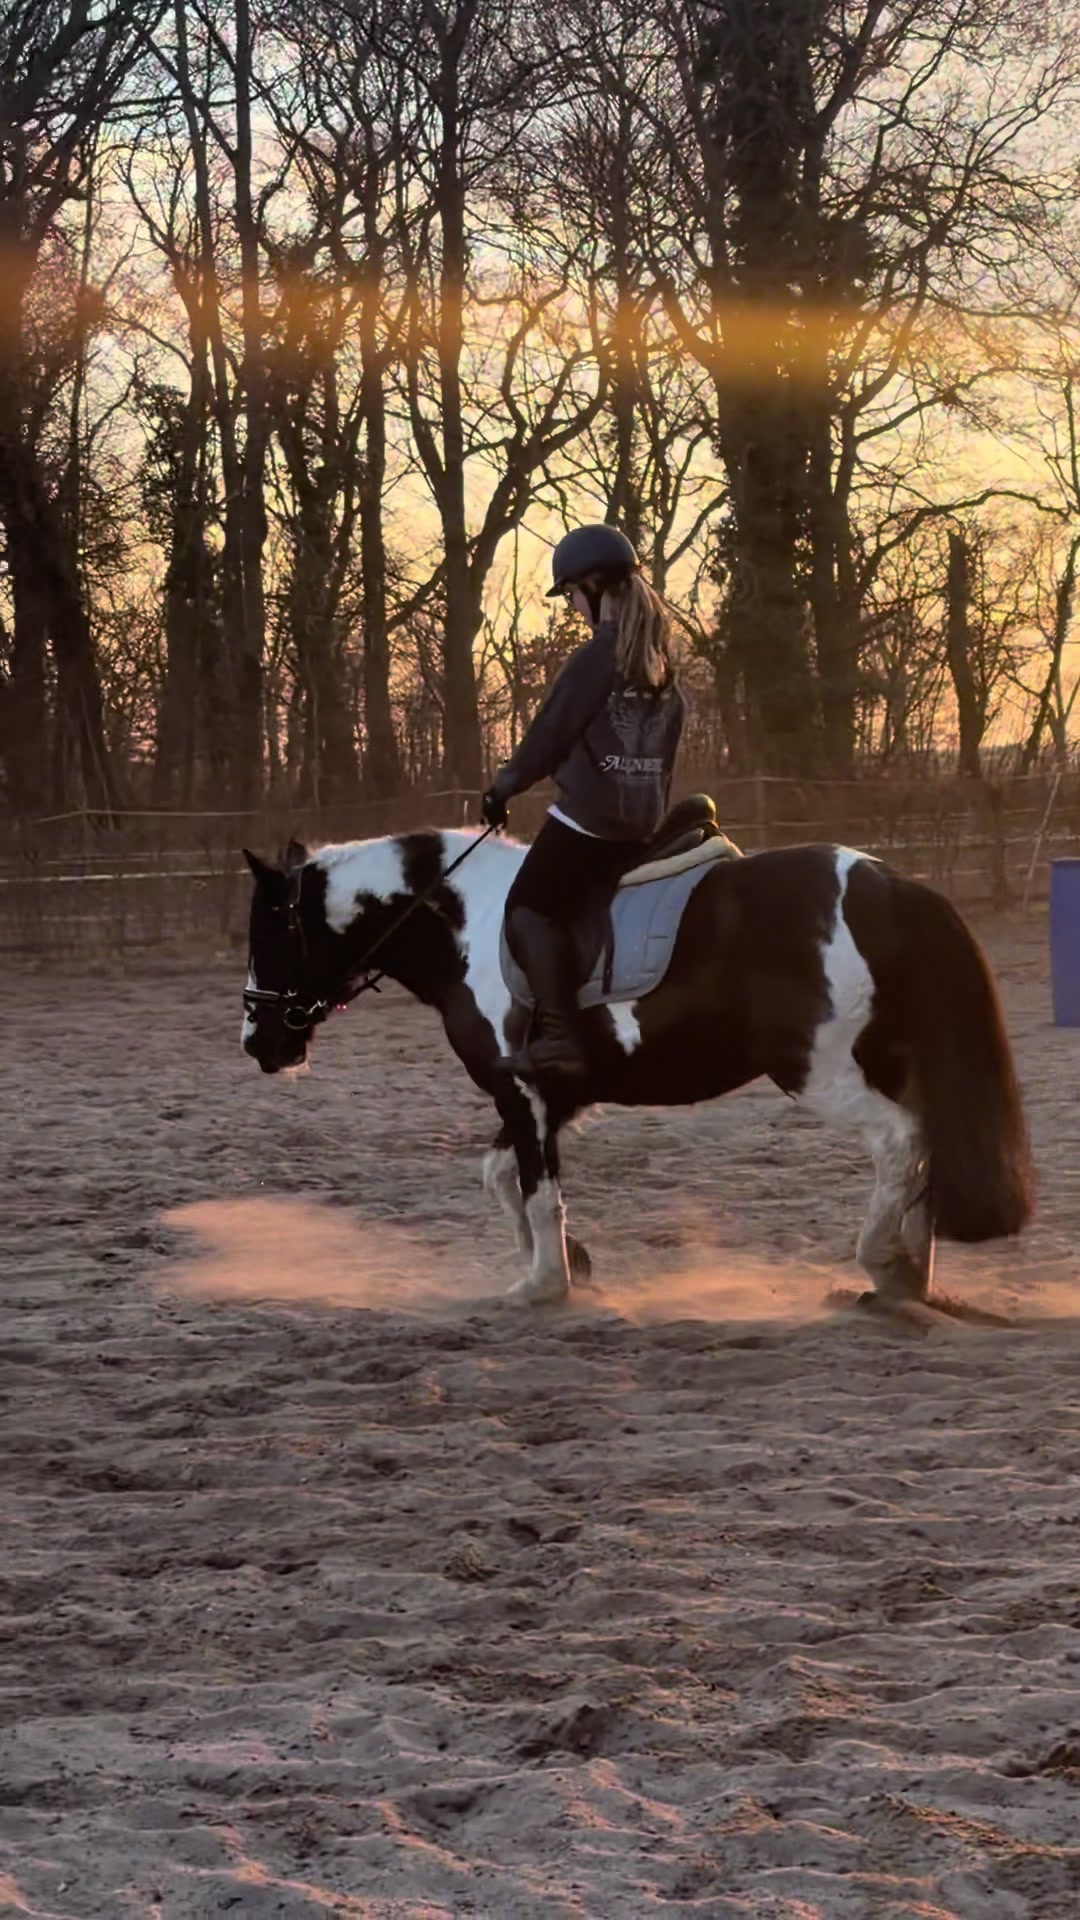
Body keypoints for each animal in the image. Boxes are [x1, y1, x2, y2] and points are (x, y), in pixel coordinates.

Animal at [240, 813, 1033, 1318]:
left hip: (822, 1071)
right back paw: (910, 1277)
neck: (466, 922)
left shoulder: (519, 1090)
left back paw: (879, 1261)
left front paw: (544, 1285)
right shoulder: (550, 1097)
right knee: (927, 1146)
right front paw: (572, 1261)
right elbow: (502, 1178)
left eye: (270, 933)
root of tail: (889, 884)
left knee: (902, 1143)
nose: (257, 1042)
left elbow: (537, 1190)